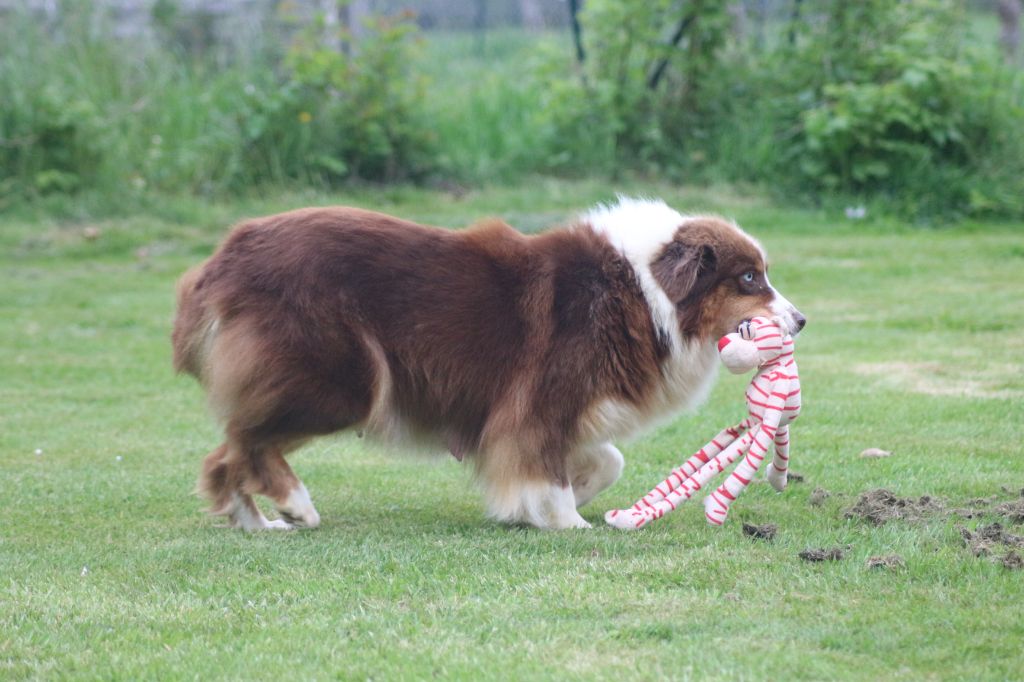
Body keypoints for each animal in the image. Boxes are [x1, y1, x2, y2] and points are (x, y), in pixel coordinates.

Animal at [172, 196, 802, 532]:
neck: (644, 290)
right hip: (344, 381)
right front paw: (566, 519)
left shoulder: (568, 412)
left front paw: (559, 502)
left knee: (222, 454)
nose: (799, 322)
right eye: (750, 278)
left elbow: (609, 461)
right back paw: (296, 505)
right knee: (246, 439)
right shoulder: (539, 404)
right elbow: (545, 467)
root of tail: (227, 255)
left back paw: (257, 524)